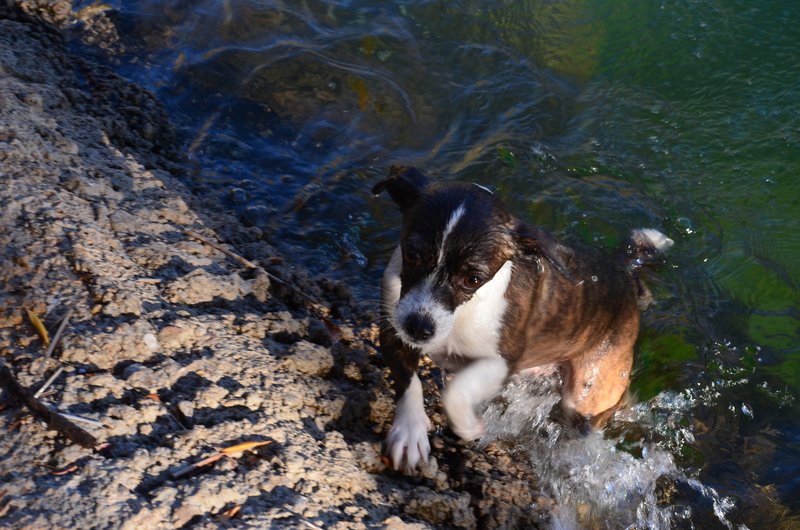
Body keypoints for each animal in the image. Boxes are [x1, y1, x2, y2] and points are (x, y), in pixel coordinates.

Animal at [372, 165, 672, 470]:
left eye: (473, 279)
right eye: (412, 255)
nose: (419, 328)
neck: (463, 312)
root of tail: (624, 272)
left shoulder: (503, 361)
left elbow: (456, 392)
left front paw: (467, 425)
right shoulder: (393, 330)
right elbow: (409, 382)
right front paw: (409, 432)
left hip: (591, 389)